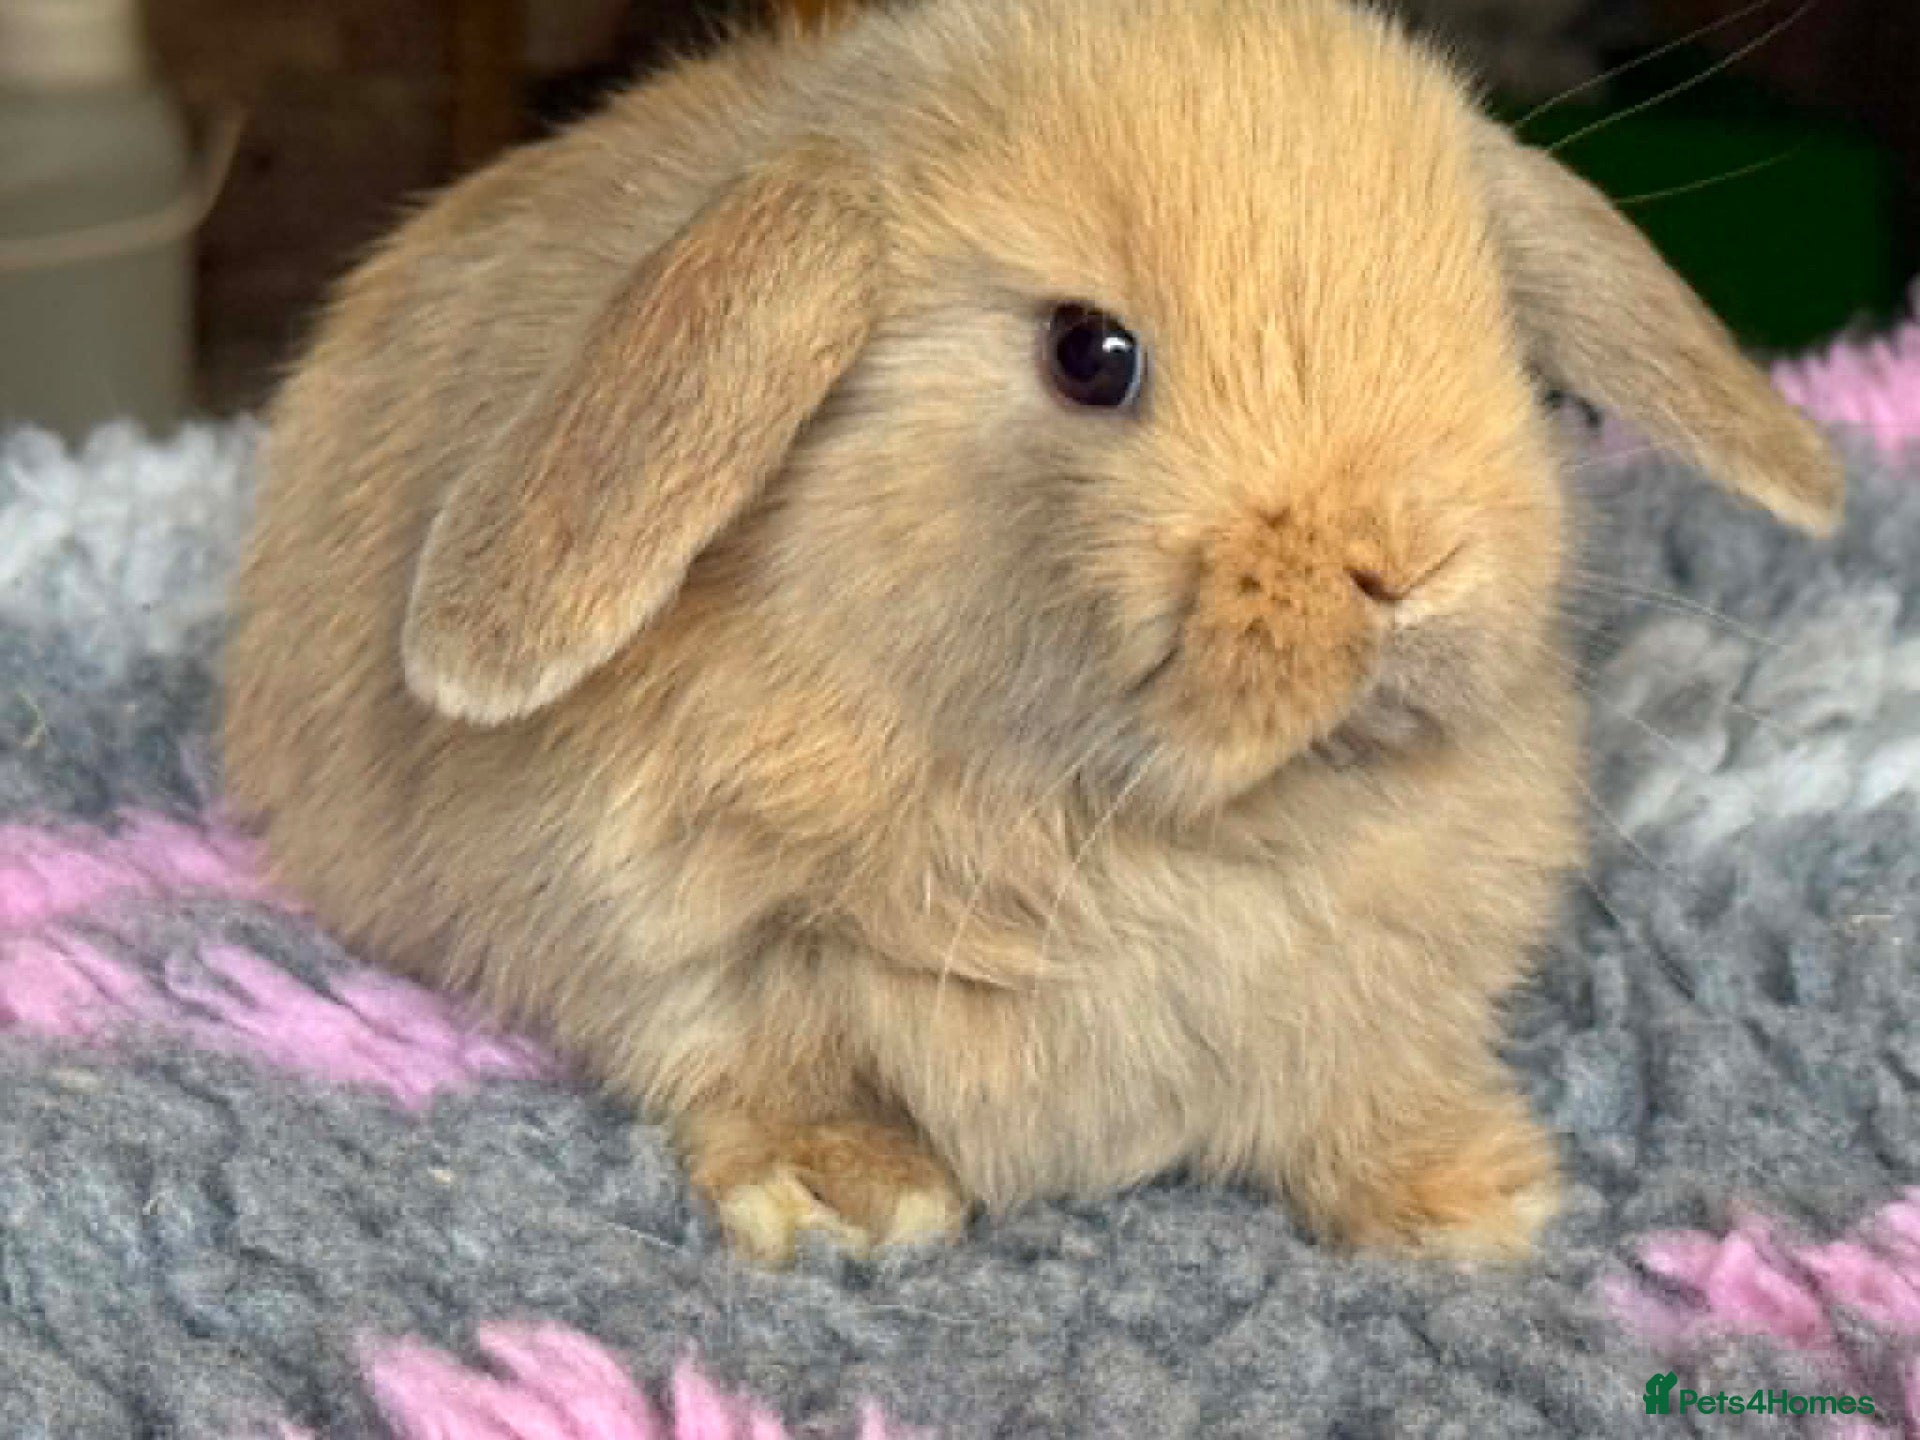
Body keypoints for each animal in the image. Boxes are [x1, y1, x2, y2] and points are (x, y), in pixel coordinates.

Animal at [222, 0, 1842, 1267]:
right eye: (1090, 355)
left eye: (1495, 328)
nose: (1408, 563)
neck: (1152, 820)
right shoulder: (661, 925)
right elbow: (747, 1052)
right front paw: (845, 1198)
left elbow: (1367, 1090)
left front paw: (1471, 1202)